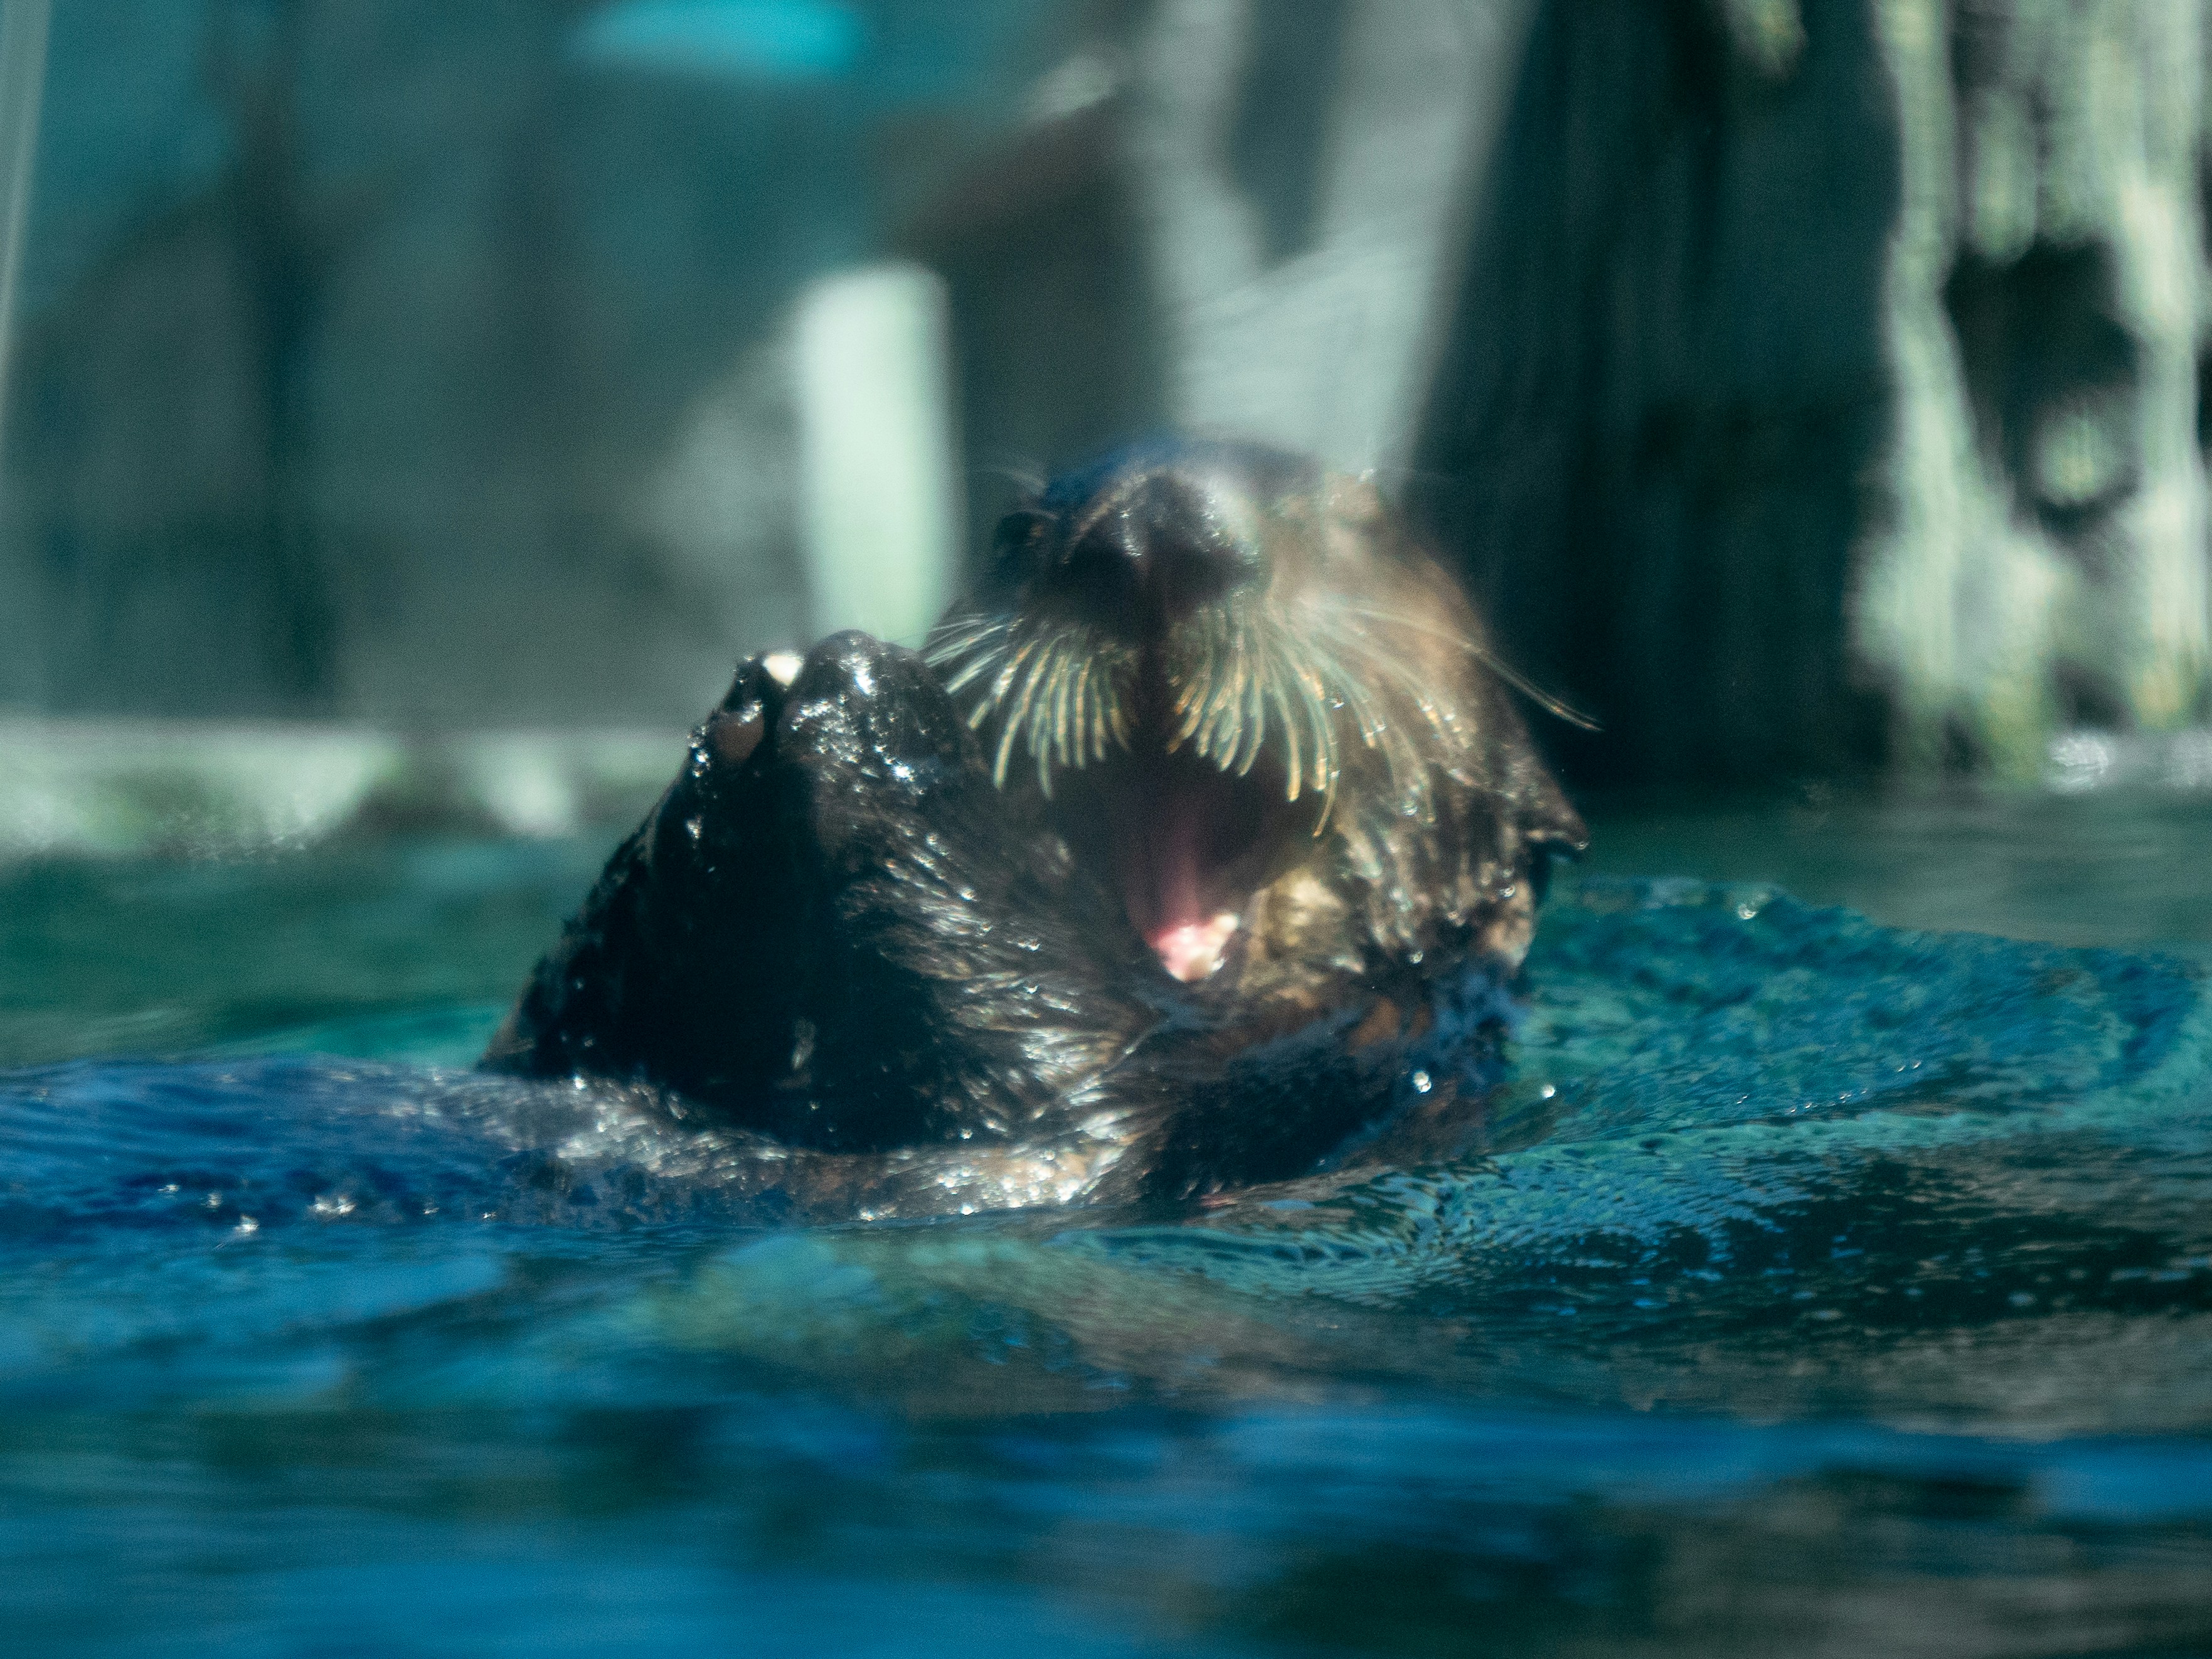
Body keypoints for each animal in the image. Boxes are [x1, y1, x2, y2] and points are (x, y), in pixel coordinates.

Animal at [484, 439, 1585, 1216]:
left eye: (1362, 524)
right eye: (1013, 531)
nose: (1156, 534)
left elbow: (1056, 1073)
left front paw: (874, 703)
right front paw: (742, 734)